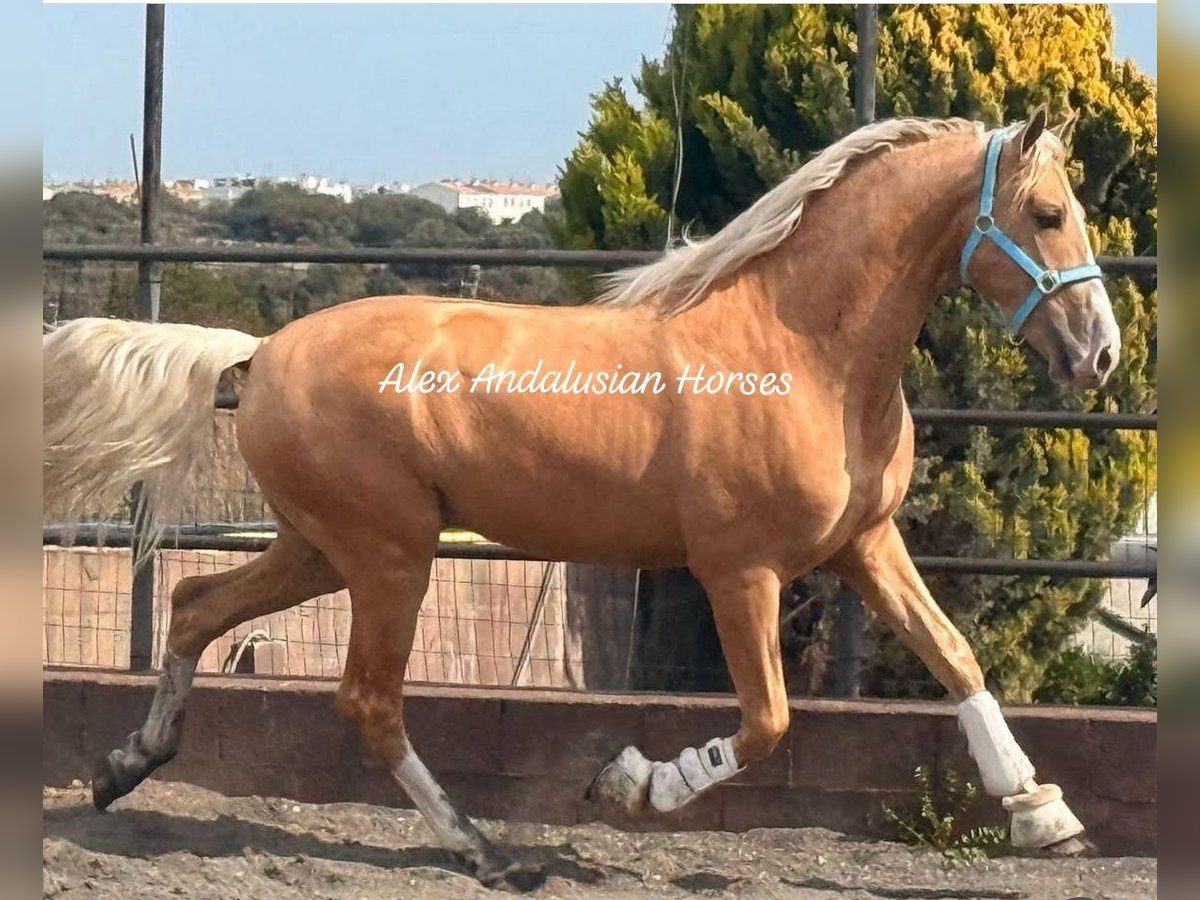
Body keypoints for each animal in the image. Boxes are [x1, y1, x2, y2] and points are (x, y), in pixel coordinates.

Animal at [44, 109, 1113, 883]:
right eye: (1048, 214)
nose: (1097, 354)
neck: (805, 348)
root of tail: (260, 353)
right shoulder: (740, 571)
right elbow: (768, 721)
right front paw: (630, 785)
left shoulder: (866, 542)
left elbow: (956, 655)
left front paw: (1045, 815)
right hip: (390, 557)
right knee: (367, 700)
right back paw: (485, 851)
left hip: (320, 547)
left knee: (194, 605)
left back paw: (124, 767)